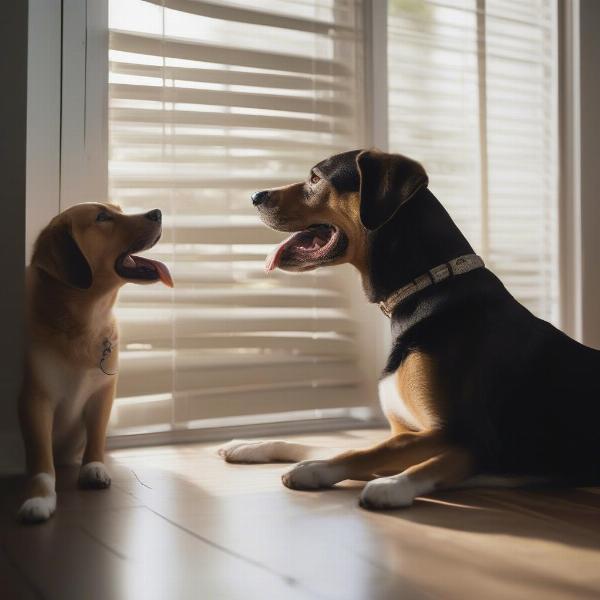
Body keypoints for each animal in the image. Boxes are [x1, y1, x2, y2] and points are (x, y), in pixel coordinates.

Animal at [18, 202, 172, 520]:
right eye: (102, 217)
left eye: (118, 209)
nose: (157, 213)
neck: (86, 320)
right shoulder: (35, 398)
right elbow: (41, 460)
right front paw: (39, 496)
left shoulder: (103, 393)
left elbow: (96, 437)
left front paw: (94, 468)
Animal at [220, 149, 600, 506]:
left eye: (315, 178)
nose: (255, 195)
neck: (425, 287)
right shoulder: (411, 432)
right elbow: (336, 445)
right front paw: (250, 445)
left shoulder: (468, 437)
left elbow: (372, 451)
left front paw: (382, 485)